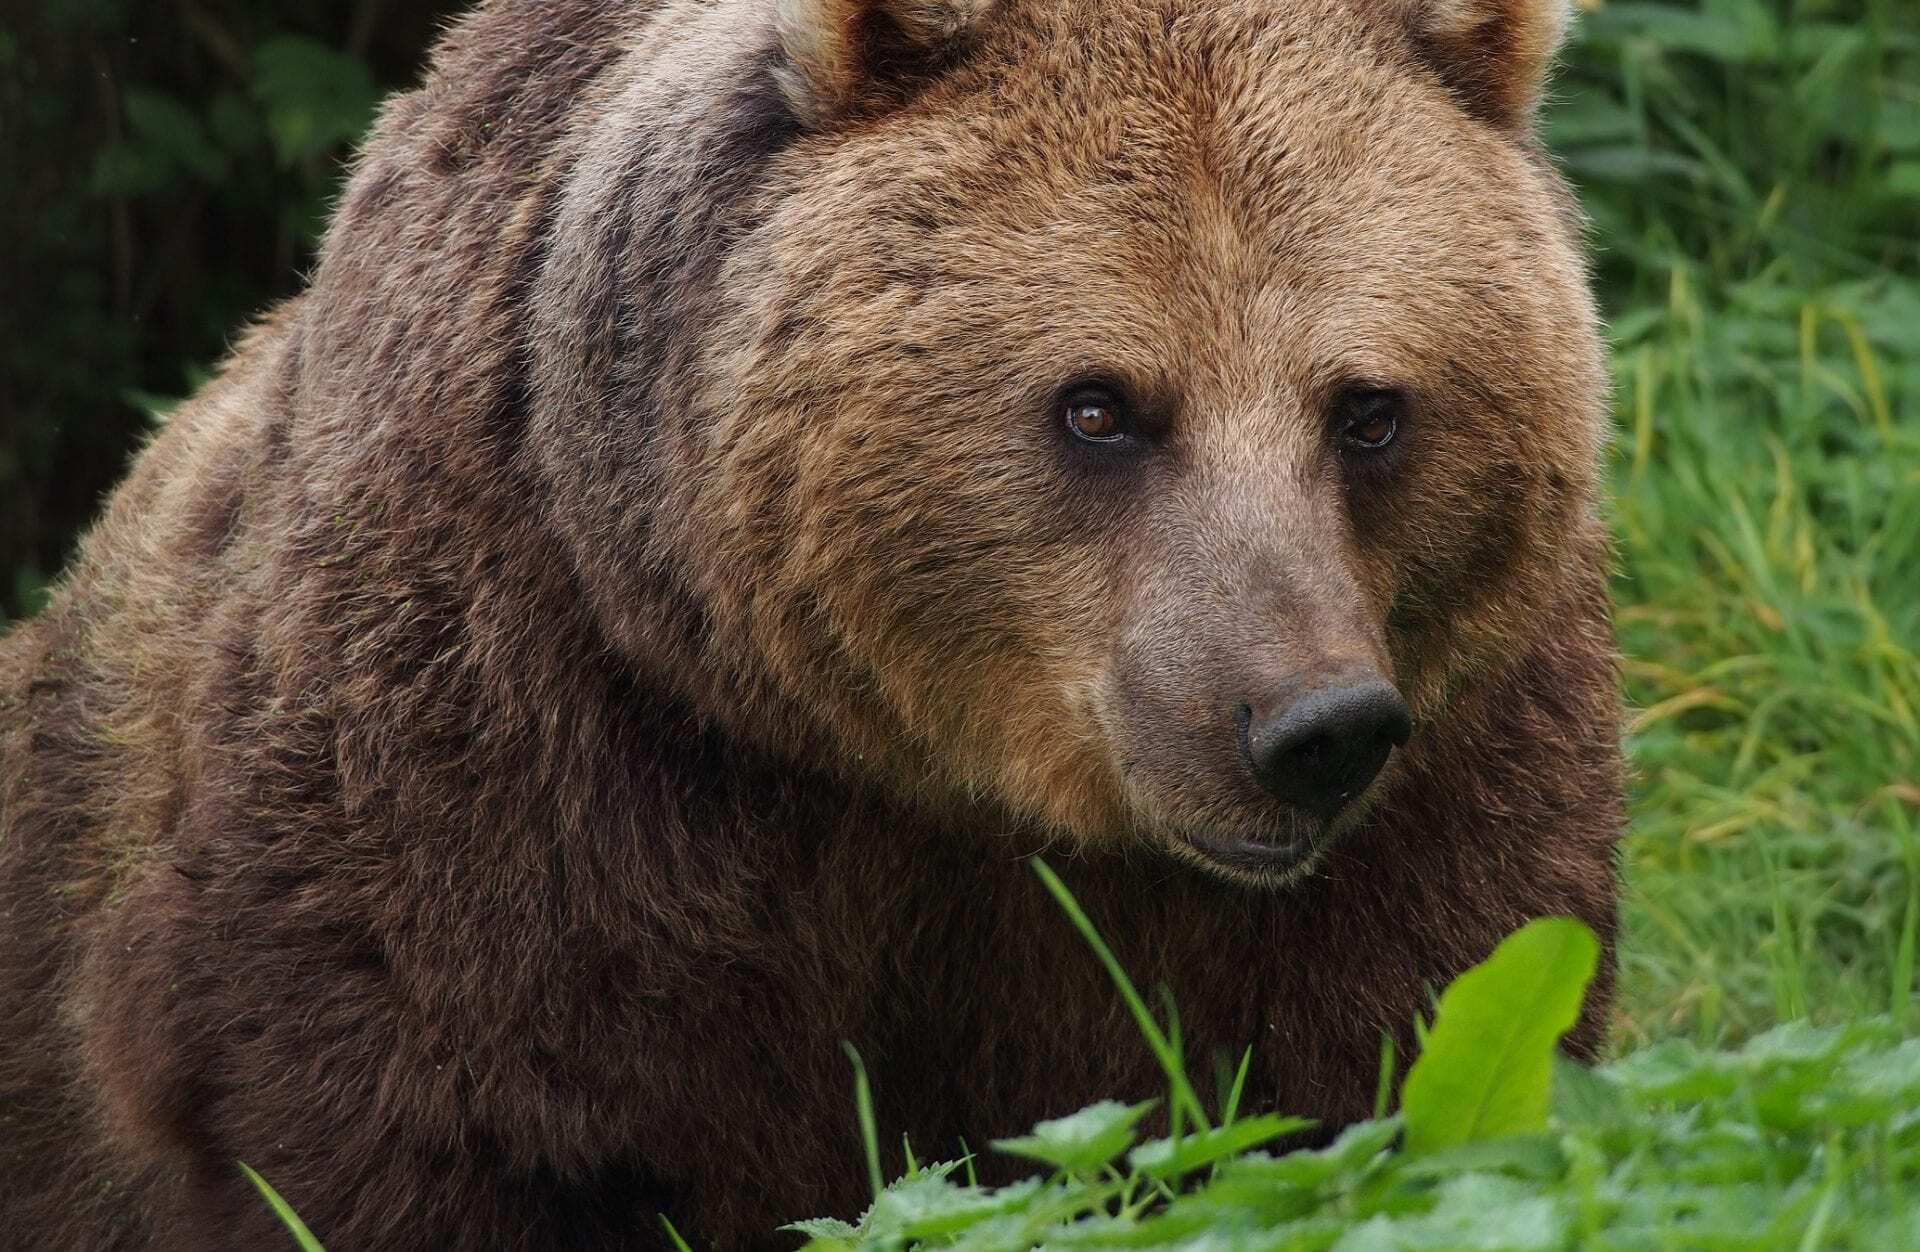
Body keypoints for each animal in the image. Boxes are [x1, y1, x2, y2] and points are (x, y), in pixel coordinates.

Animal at [0, 0, 1622, 1247]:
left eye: (1368, 408)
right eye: (1099, 404)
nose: (1307, 729)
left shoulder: (1448, 761)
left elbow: (1371, 1067)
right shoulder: (522, 740)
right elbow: (437, 1115)